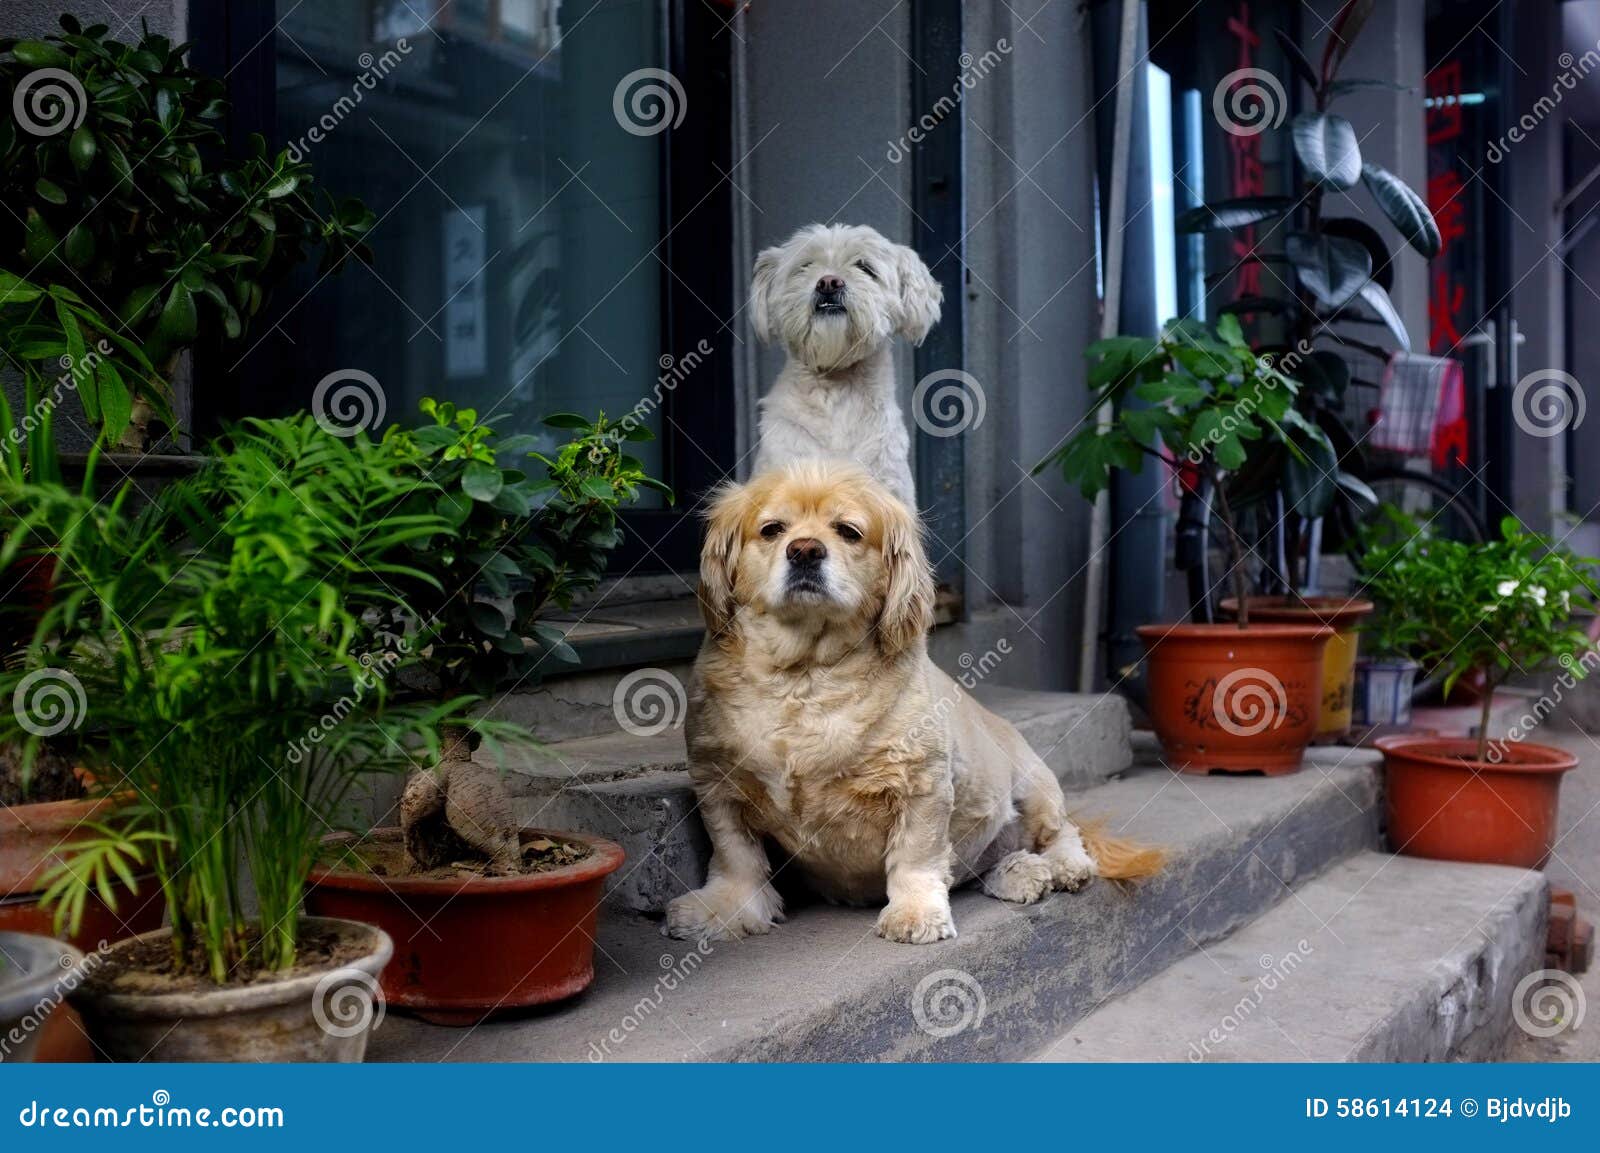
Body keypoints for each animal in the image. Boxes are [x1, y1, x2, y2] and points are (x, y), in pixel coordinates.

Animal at [662, 460, 1164, 946]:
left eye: (848, 531)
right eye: (771, 530)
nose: (804, 550)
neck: (806, 677)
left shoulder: (920, 788)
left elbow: (915, 859)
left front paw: (914, 914)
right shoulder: (718, 784)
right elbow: (737, 857)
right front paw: (721, 910)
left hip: (1035, 783)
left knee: (1061, 832)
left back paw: (1059, 867)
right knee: (982, 864)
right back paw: (1020, 873)